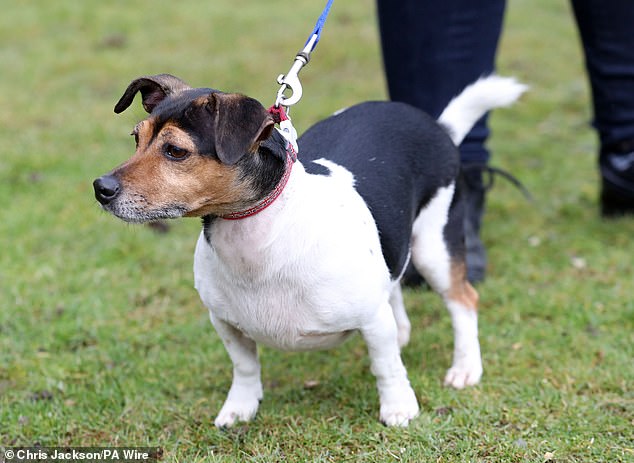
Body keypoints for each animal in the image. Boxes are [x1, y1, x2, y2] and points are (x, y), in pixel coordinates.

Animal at [91, 73, 520, 428]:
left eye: (176, 151)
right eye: (136, 138)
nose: (101, 188)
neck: (257, 237)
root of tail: (437, 126)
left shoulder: (371, 318)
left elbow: (386, 368)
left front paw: (399, 407)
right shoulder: (225, 323)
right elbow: (244, 368)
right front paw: (240, 408)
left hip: (435, 248)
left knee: (463, 301)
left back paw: (465, 368)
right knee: (395, 283)